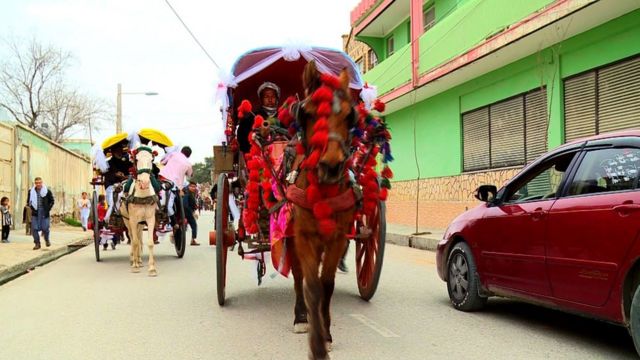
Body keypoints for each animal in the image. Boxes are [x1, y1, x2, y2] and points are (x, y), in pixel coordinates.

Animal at [120, 144, 159, 276]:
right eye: (136, 160)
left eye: (151, 160)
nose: (145, 183)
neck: (142, 196)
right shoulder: (132, 220)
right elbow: (135, 242)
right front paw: (135, 266)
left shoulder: (150, 219)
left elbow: (150, 243)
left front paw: (152, 268)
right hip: (127, 221)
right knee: (133, 238)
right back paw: (134, 259)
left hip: (141, 223)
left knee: (138, 236)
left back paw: (140, 260)